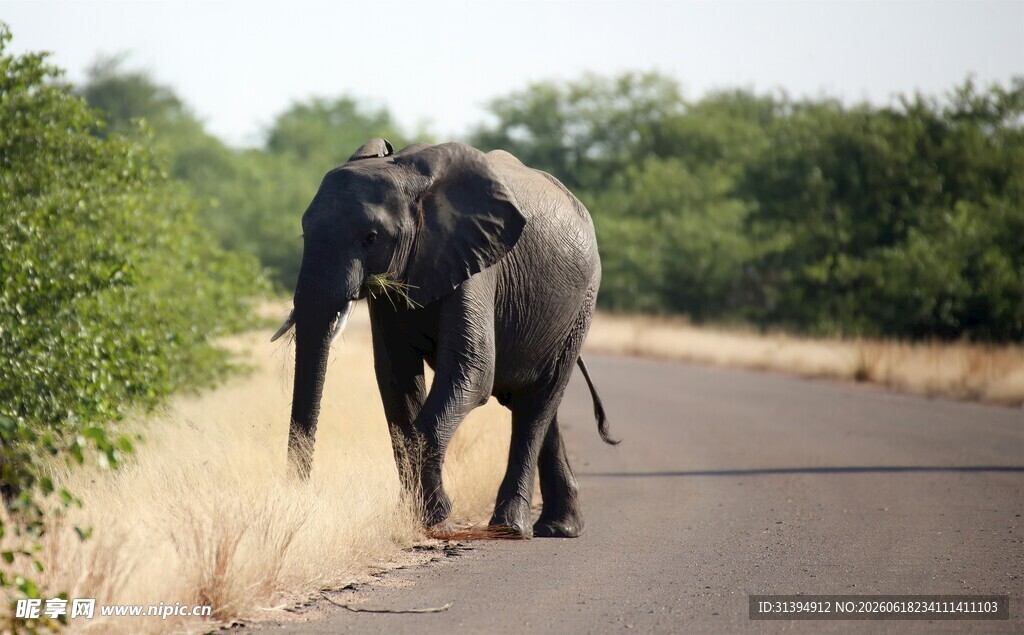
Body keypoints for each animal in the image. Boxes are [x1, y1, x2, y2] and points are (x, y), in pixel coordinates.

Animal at [272, 138, 617, 538]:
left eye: (371, 238)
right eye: (304, 233)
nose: (299, 498)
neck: (406, 175)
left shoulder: (479, 264)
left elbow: (471, 370)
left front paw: (433, 519)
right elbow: (396, 377)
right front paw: (420, 519)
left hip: (582, 303)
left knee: (538, 403)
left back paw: (511, 527)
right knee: (537, 404)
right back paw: (559, 528)